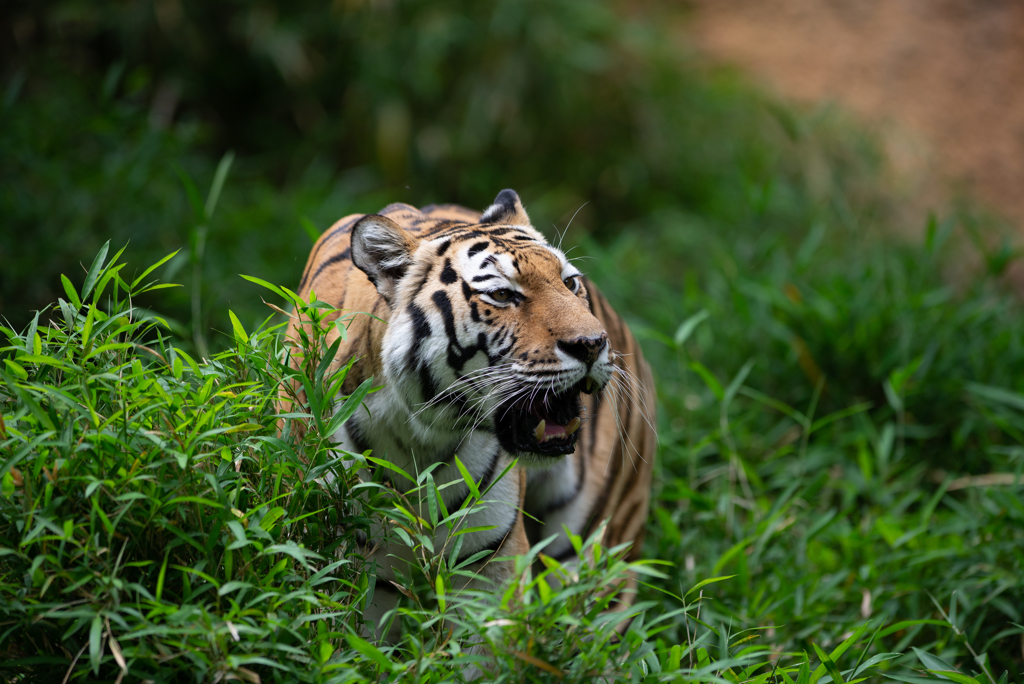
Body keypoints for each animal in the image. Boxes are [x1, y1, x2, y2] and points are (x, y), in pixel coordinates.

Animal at [282, 188, 655, 634]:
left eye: (570, 283)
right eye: (502, 295)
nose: (593, 344)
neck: (419, 435)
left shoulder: (489, 564)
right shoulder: (353, 562)